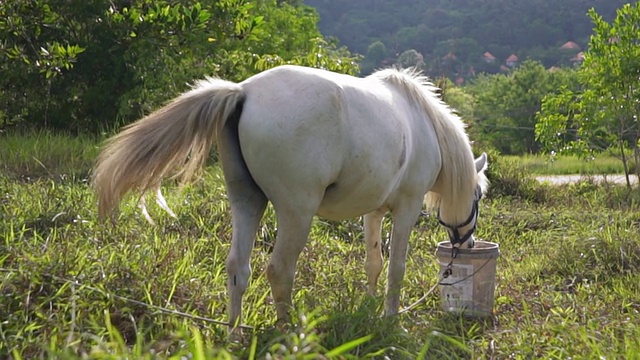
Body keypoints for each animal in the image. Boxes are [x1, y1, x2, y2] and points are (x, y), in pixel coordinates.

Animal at [92, 64, 488, 330]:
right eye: (479, 195)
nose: (467, 244)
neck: (425, 126)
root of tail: (244, 92)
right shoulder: (405, 209)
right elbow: (397, 269)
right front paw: (391, 319)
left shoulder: (373, 213)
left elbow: (373, 263)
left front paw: (370, 307)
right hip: (296, 212)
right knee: (279, 270)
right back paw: (286, 333)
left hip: (247, 202)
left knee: (238, 267)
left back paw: (235, 334)